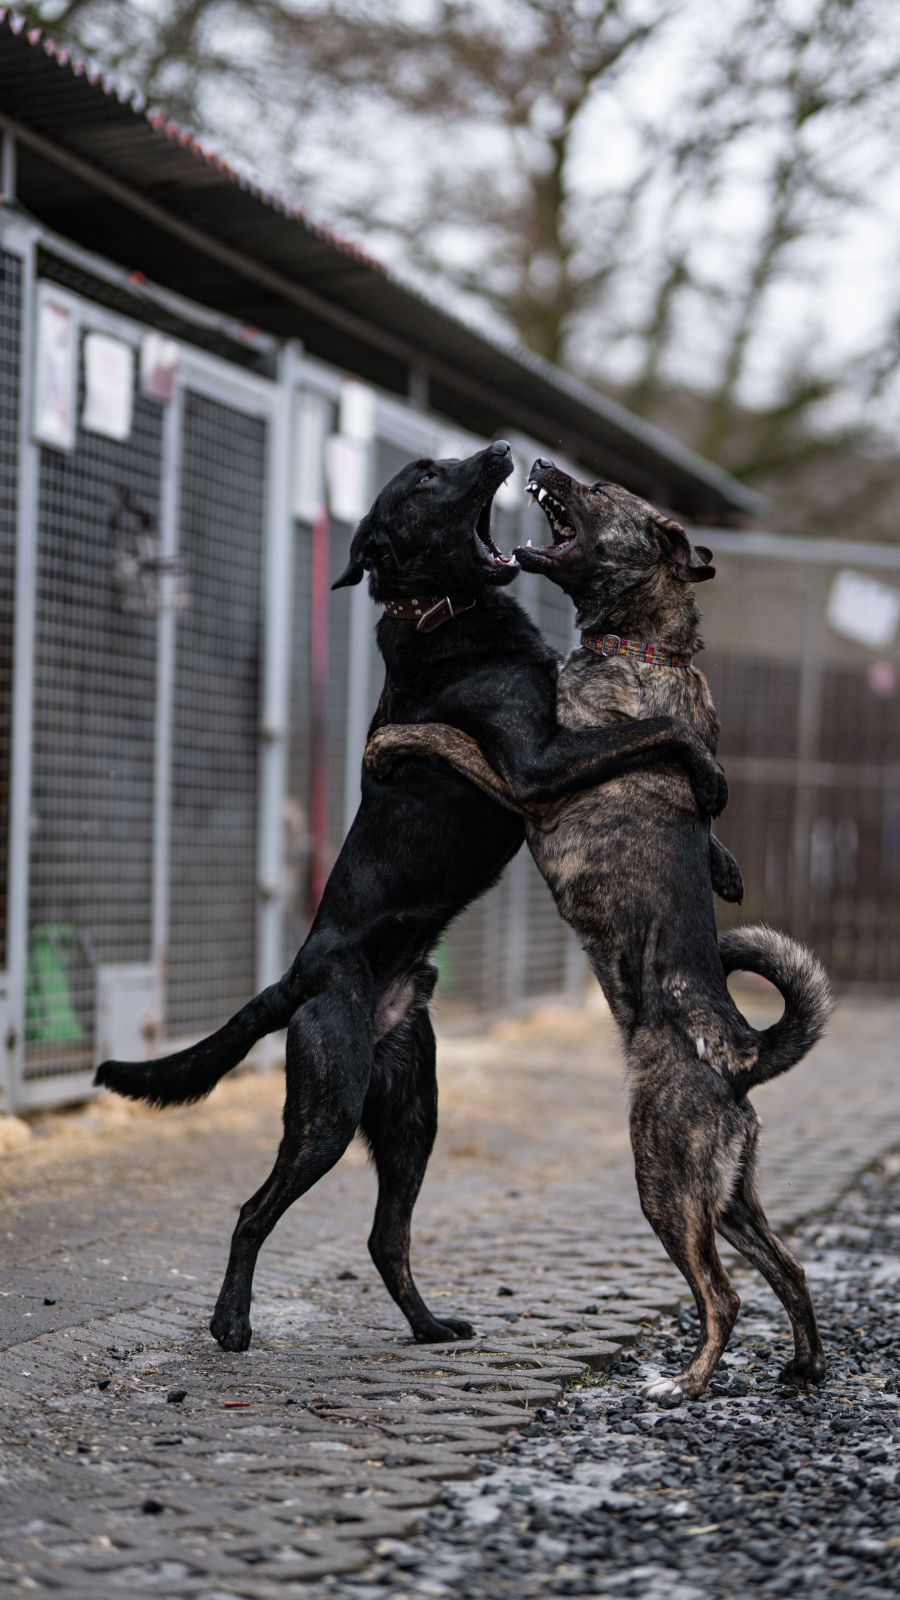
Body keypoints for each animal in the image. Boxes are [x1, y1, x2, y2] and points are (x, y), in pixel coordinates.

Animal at [95, 442, 737, 1356]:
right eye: (428, 476)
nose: (504, 449)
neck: (443, 613)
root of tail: (301, 973)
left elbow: (656, 743)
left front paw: (723, 865)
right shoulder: (535, 766)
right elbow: (663, 734)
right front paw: (712, 784)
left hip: (411, 1111)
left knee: (384, 1234)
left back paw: (429, 1325)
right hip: (328, 1108)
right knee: (255, 1209)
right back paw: (231, 1320)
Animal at [366, 461, 832, 1403]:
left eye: (603, 489)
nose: (543, 465)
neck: (643, 651)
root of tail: (738, 1050)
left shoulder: (534, 774)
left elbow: (443, 735)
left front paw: (390, 740)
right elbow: (708, 809)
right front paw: (722, 853)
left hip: (664, 1176)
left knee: (723, 1294)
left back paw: (683, 1384)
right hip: (730, 1196)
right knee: (788, 1267)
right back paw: (802, 1366)